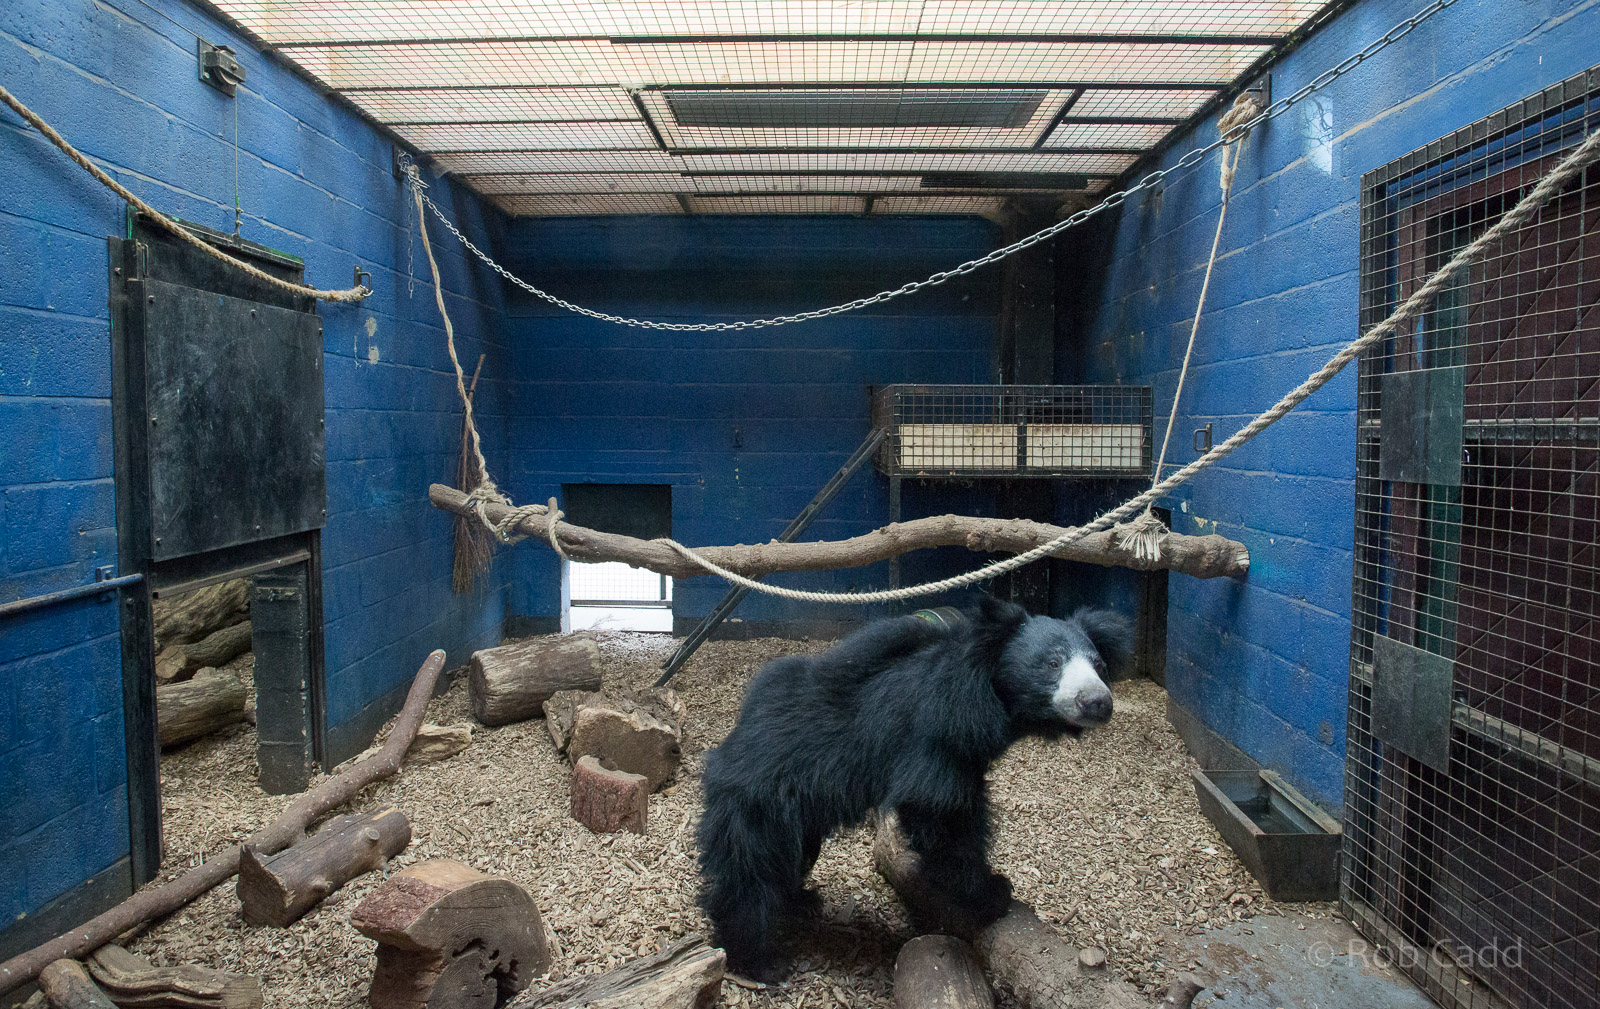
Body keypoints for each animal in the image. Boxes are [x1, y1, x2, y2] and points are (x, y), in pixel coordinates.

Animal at [696, 595, 1132, 980]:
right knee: (751, 875)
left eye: (1099, 665)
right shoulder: (934, 733)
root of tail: (727, 748)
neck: (982, 697)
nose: (1097, 702)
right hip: (760, 802)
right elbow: (942, 810)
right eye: (1052, 662)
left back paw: (801, 902)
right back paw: (758, 960)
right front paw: (991, 892)